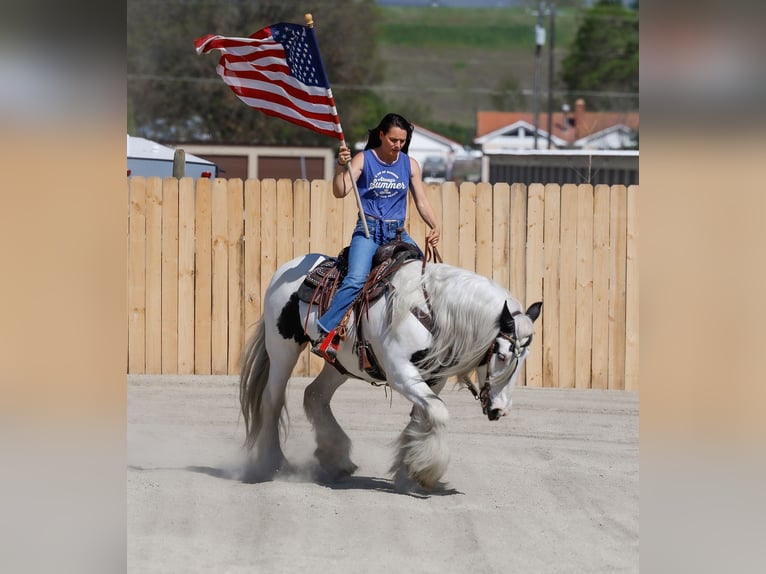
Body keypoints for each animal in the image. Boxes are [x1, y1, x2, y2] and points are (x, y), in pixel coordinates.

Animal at [237, 253, 544, 496]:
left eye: (524, 358)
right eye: (502, 354)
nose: (500, 410)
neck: (430, 310)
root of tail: (289, 266)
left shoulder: (434, 378)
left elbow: (423, 416)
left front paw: (408, 471)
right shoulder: (400, 374)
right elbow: (438, 412)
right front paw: (426, 473)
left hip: (341, 364)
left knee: (314, 395)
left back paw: (336, 459)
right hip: (282, 349)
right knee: (273, 401)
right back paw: (273, 463)